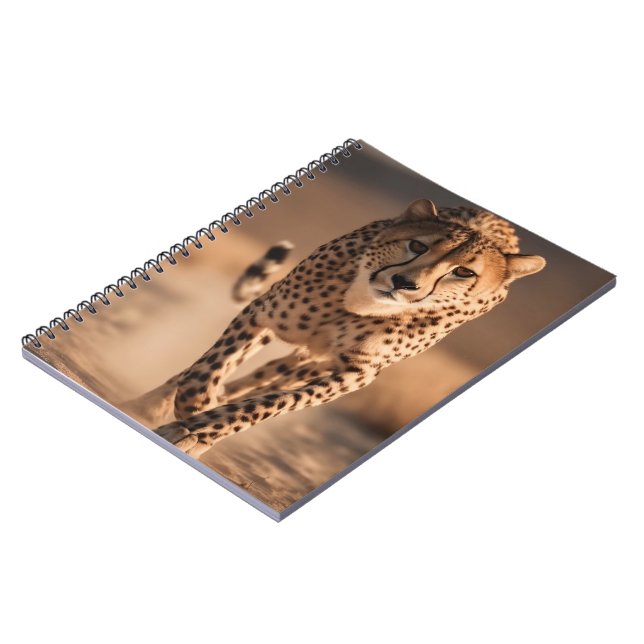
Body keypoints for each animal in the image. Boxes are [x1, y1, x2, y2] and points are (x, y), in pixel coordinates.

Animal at [155, 199, 546, 458]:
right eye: (417, 245)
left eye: (463, 271)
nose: (404, 282)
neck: (360, 304)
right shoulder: (264, 313)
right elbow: (205, 371)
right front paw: (191, 407)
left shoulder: (354, 375)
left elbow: (271, 403)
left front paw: (200, 429)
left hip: (312, 363)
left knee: (272, 377)